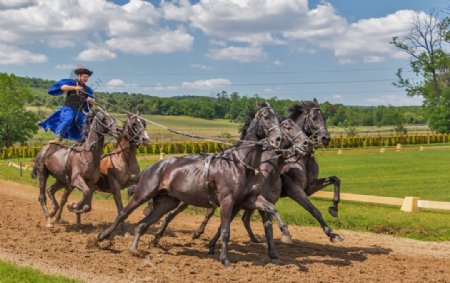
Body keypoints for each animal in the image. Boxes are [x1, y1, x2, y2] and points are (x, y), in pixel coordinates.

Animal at [96, 103, 290, 268]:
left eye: (278, 118)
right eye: (265, 117)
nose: (278, 139)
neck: (241, 163)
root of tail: (153, 167)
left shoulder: (250, 199)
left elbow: (272, 208)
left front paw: (285, 233)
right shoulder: (227, 200)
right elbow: (225, 230)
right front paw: (225, 259)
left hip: (166, 203)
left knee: (142, 224)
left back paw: (134, 249)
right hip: (143, 194)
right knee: (123, 213)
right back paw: (102, 237)